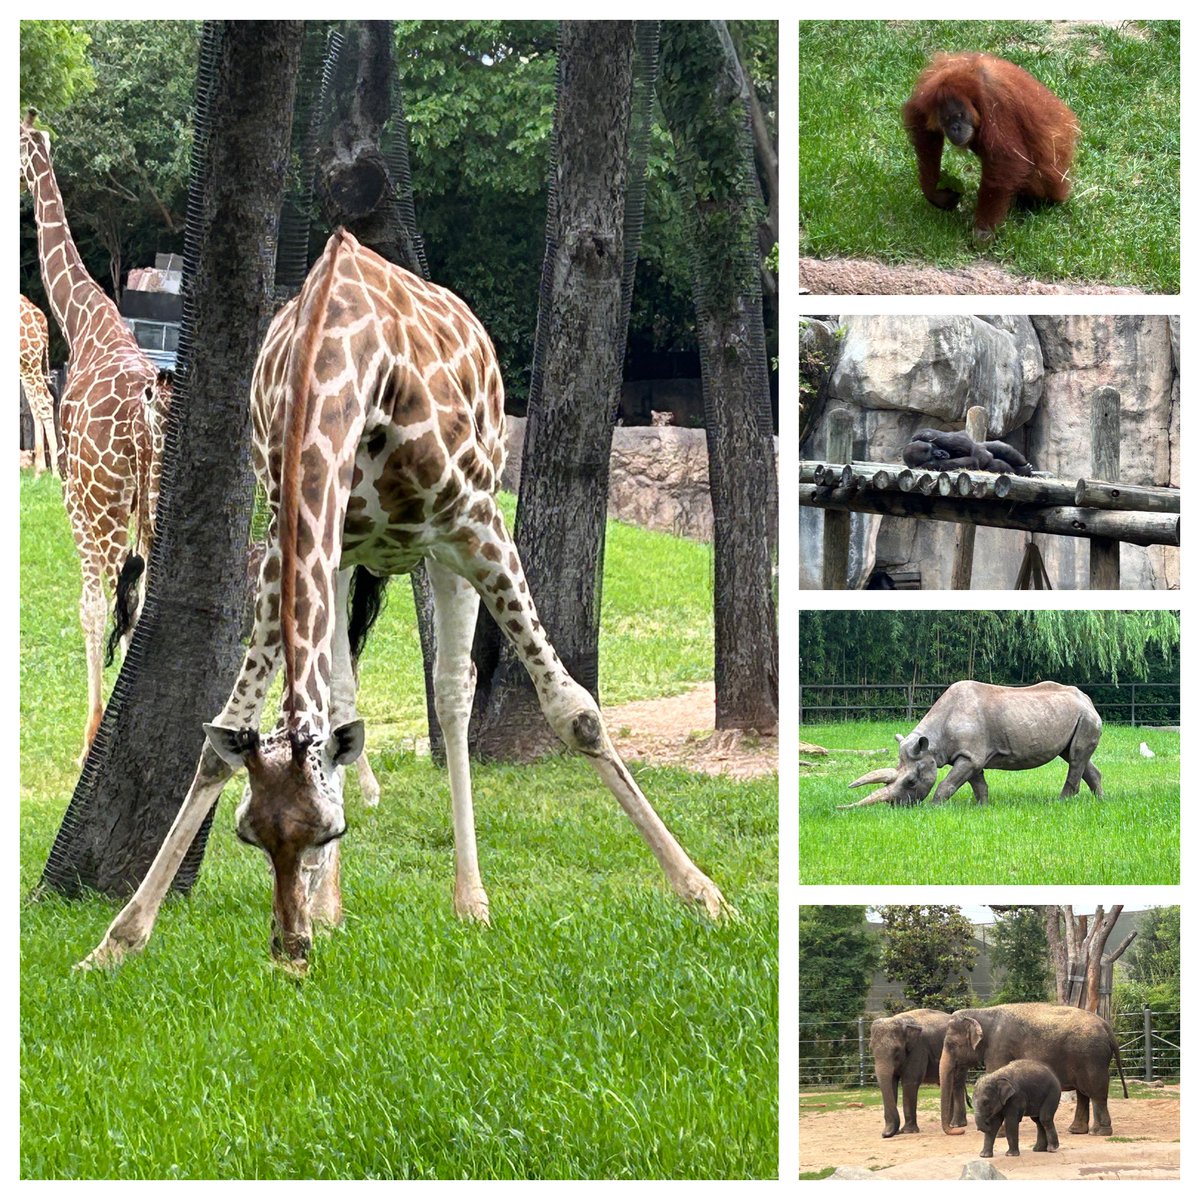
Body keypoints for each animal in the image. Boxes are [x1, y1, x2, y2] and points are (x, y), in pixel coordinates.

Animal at [84, 229, 724, 969]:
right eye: (250, 836)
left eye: (330, 830)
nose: (290, 950)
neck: (341, 365)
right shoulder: (289, 543)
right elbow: (223, 741)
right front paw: (116, 940)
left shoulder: (477, 522)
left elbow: (577, 711)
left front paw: (704, 894)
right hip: (347, 561)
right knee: (344, 697)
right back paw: (336, 907)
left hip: (447, 548)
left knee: (452, 688)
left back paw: (471, 901)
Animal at [936, 1008, 1123, 1137]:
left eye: (951, 1045)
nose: (959, 1131)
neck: (982, 1012)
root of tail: (1106, 1026)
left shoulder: (999, 1048)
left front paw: (998, 1133)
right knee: (1083, 1093)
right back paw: (1076, 1130)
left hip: (1092, 1058)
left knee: (1096, 1092)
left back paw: (1099, 1132)